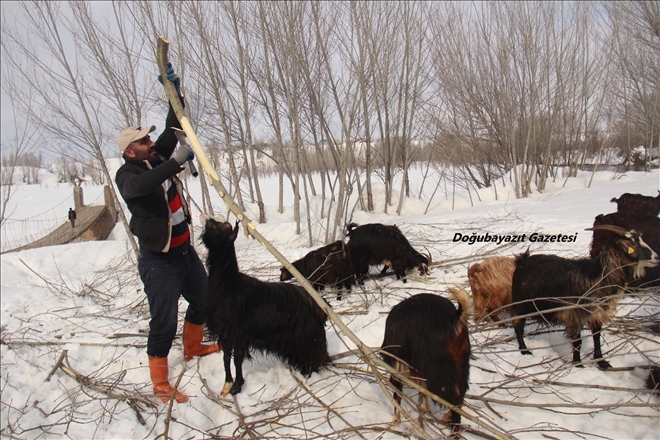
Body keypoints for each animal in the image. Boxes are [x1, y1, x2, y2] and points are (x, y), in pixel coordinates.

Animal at [201, 219, 330, 396]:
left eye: (226, 226)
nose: (209, 220)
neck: (229, 285)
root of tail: (321, 306)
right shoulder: (226, 332)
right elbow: (226, 358)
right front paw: (227, 384)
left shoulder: (239, 333)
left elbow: (237, 359)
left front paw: (237, 386)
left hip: (309, 338)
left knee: (315, 357)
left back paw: (308, 375)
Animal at [378, 288, 472, 432]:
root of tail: (454, 318)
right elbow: (423, 390)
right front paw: (425, 410)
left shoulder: (397, 365)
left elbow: (397, 394)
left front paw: (395, 422)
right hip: (461, 365)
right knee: (459, 396)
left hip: (437, 369)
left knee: (454, 402)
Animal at [510, 225, 660, 370]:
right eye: (632, 243)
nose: (656, 257)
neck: (598, 277)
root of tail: (522, 260)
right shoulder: (574, 314)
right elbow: (578, 341)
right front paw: (578, 364)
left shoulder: (597, 313)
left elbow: (597, 337)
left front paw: (602, 361)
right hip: (520, 303)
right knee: (518, 325)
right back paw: (524, 350)